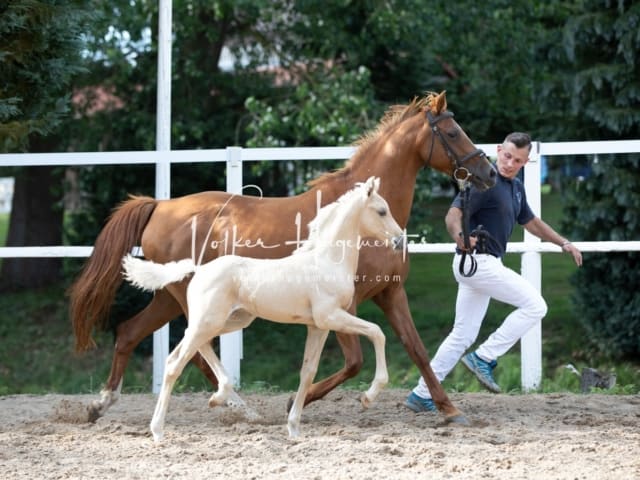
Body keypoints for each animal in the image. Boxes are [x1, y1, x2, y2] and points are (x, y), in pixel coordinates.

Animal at [124, 176, 404, 438]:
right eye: (382, 211)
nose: (400, 241)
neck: (326, 261)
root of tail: (199, 269)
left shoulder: (318, 326)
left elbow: (308, 372)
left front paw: (294, 428)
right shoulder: (332, 316)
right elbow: (377, 332)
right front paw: (368, 396)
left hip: (229, 320)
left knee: (185, 351)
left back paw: (217, 397)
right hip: (209, 321)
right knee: (176, 364)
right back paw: (159, 430)